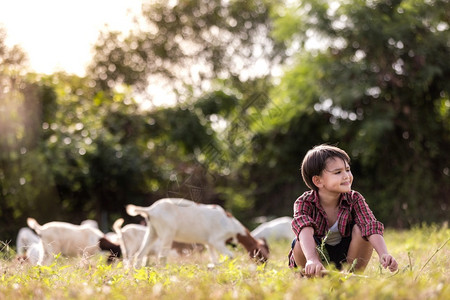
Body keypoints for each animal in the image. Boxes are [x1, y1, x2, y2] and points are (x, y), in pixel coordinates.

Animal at [125, 199, 268, 268]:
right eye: (261, 255)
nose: (263, 266)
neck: (231, 224)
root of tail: (151, 210)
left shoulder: (209, 244)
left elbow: (214, 259)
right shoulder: (217, 241)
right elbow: (230, 256)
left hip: (152, 232)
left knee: (140, 254)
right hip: (167, 233)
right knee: (161, 256)